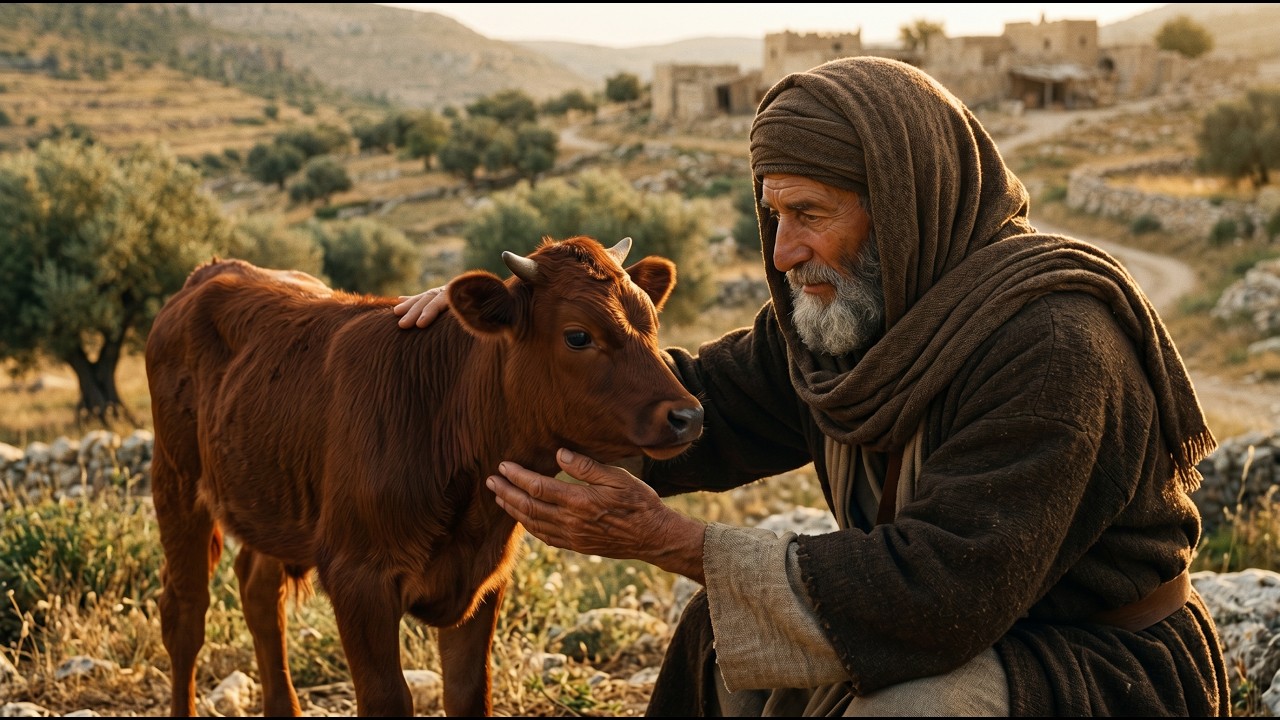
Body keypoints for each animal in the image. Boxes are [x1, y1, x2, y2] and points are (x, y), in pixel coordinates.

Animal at [144, 235, 704, 716]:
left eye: (651, 323)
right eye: (578, 336)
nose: (689, 415)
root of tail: (212, 270)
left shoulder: (484, 581)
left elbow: (468, 692)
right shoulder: (358, 579)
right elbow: (388, 698)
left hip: (269, 493)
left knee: (260, 595)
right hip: (175, 482)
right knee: (184, 615)